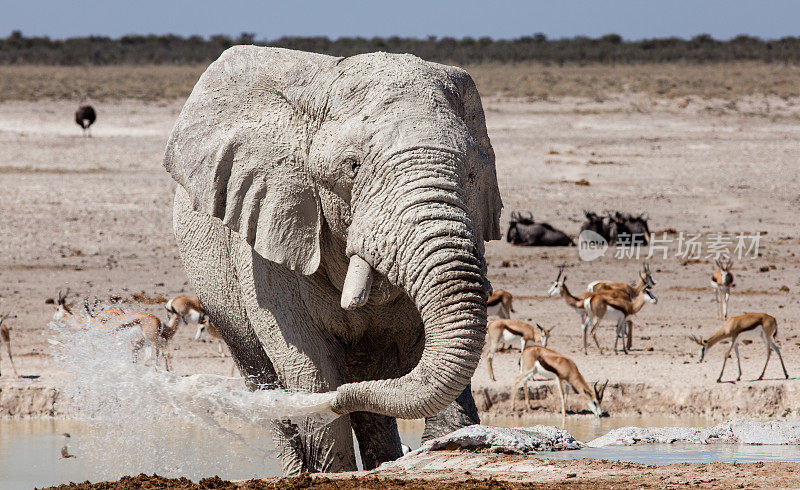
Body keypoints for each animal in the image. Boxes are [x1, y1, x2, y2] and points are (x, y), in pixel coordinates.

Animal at [161, 47, 500, 474]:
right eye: (352, 167)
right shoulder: (269, 236)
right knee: (267, 383)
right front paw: (332, 465)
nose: (339, 401)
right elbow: (309, 370)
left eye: (472, 174)